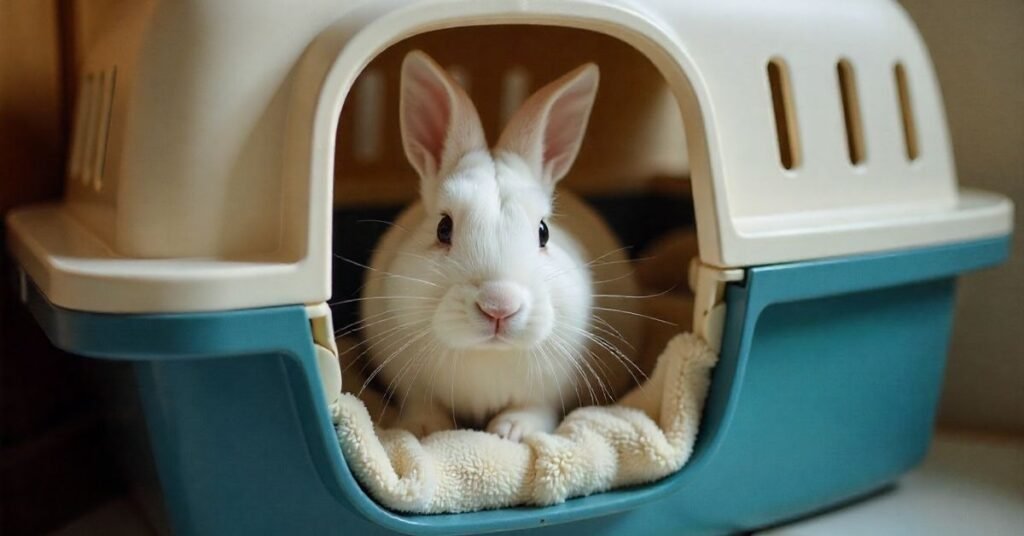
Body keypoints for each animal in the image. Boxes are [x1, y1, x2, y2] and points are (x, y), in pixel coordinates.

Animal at [357, 50, 644, 442]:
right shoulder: (413, 385)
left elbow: (536, 407)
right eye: (443, 228)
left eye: (543, 232)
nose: (499, 306)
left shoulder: (547, 392)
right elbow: (423, 404)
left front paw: (512, 432)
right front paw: (423, 429)